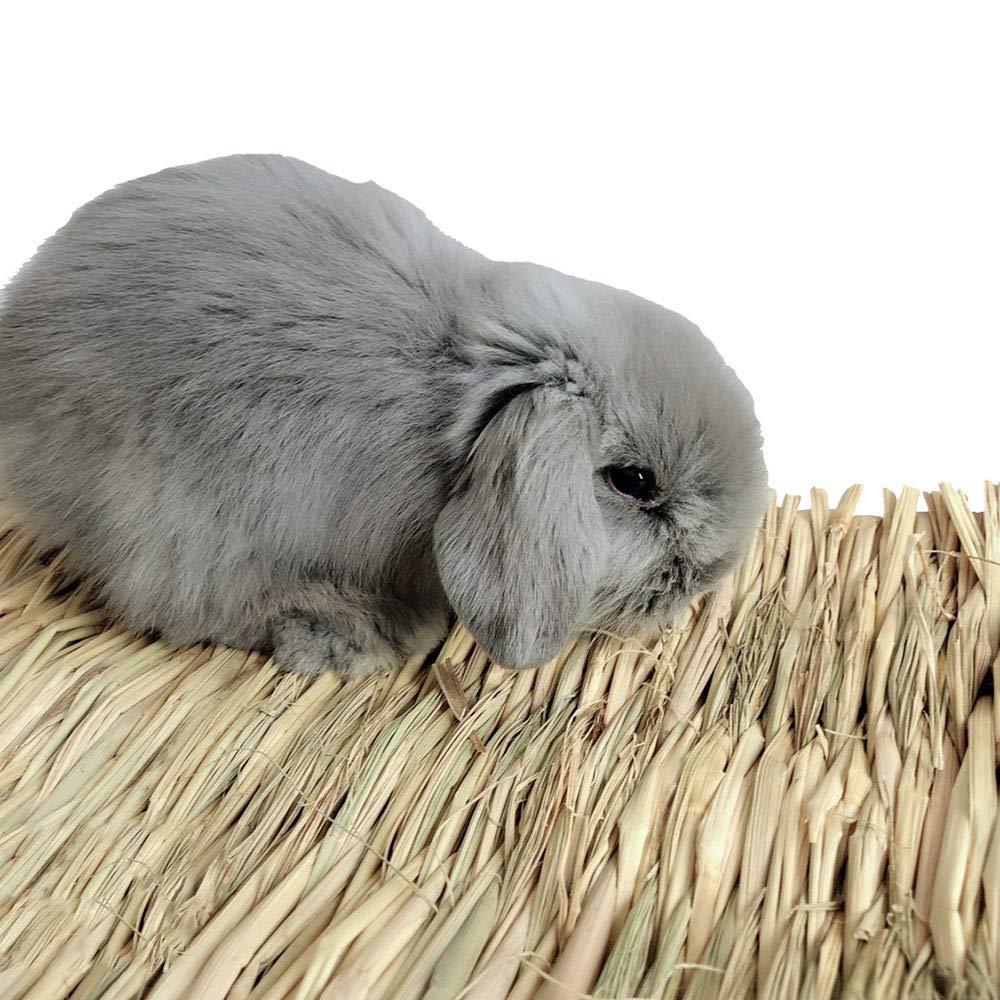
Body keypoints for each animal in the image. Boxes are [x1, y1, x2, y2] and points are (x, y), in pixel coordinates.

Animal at [0, 154, 768, 677]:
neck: (463, 400)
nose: (711, 576)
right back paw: (356, 632)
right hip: (170, 517)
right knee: (186, 603)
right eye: (634, 482)